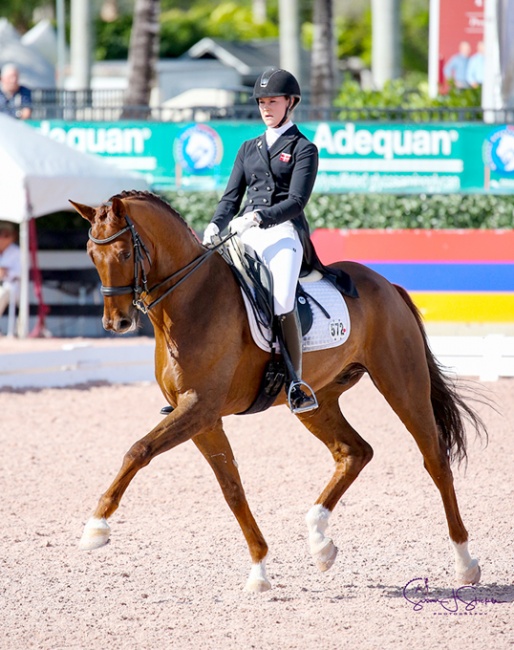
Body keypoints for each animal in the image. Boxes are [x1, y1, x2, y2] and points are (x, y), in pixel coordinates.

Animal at [71, 190, 484, 588]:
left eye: (125, 253)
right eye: (91, 254)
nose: (116, 323)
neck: (190, 301)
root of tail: (387, 284)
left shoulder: (200, 408)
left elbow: (138, 450)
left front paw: (95, 527)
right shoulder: (202, 418)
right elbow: (232, 488)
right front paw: (259, 570)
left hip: (402, 384)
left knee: (435, 459)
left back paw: (465, 564)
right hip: (317, 402)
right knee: (354, 452)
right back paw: (320, 543)